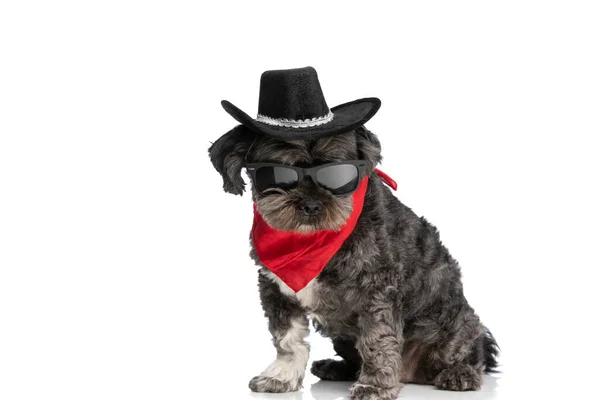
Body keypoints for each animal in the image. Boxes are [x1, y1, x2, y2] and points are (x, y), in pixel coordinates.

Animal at [209, 123, 500, 398]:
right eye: (279, 172)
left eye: (337, 173)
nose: (311, 205)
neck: (310, 242)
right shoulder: (275, 289)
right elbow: (287, 339)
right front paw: (282, 376)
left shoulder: (377, 289)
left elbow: (377, 341)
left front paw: (375, 385)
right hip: (343, 338)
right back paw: (335, 367)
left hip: (453, 327)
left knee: (473, 354)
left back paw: (460, 373)